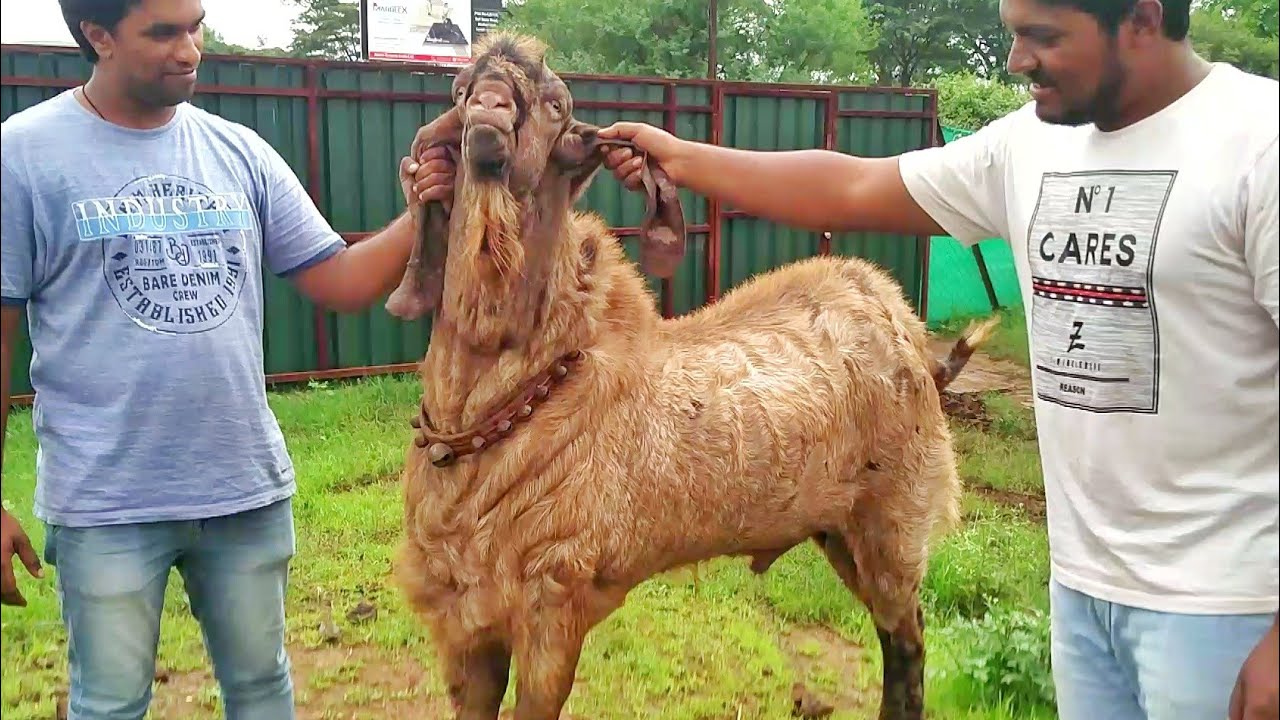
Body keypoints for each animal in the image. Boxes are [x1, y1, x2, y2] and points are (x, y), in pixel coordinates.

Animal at [386, 31, 994, 720]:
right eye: (460, 90)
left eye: (555, 103)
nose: (491, 106)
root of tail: (908, 330)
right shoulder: (465, 615)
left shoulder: (554, 596)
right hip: (840, 528)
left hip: (895, 514)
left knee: (907, 641)